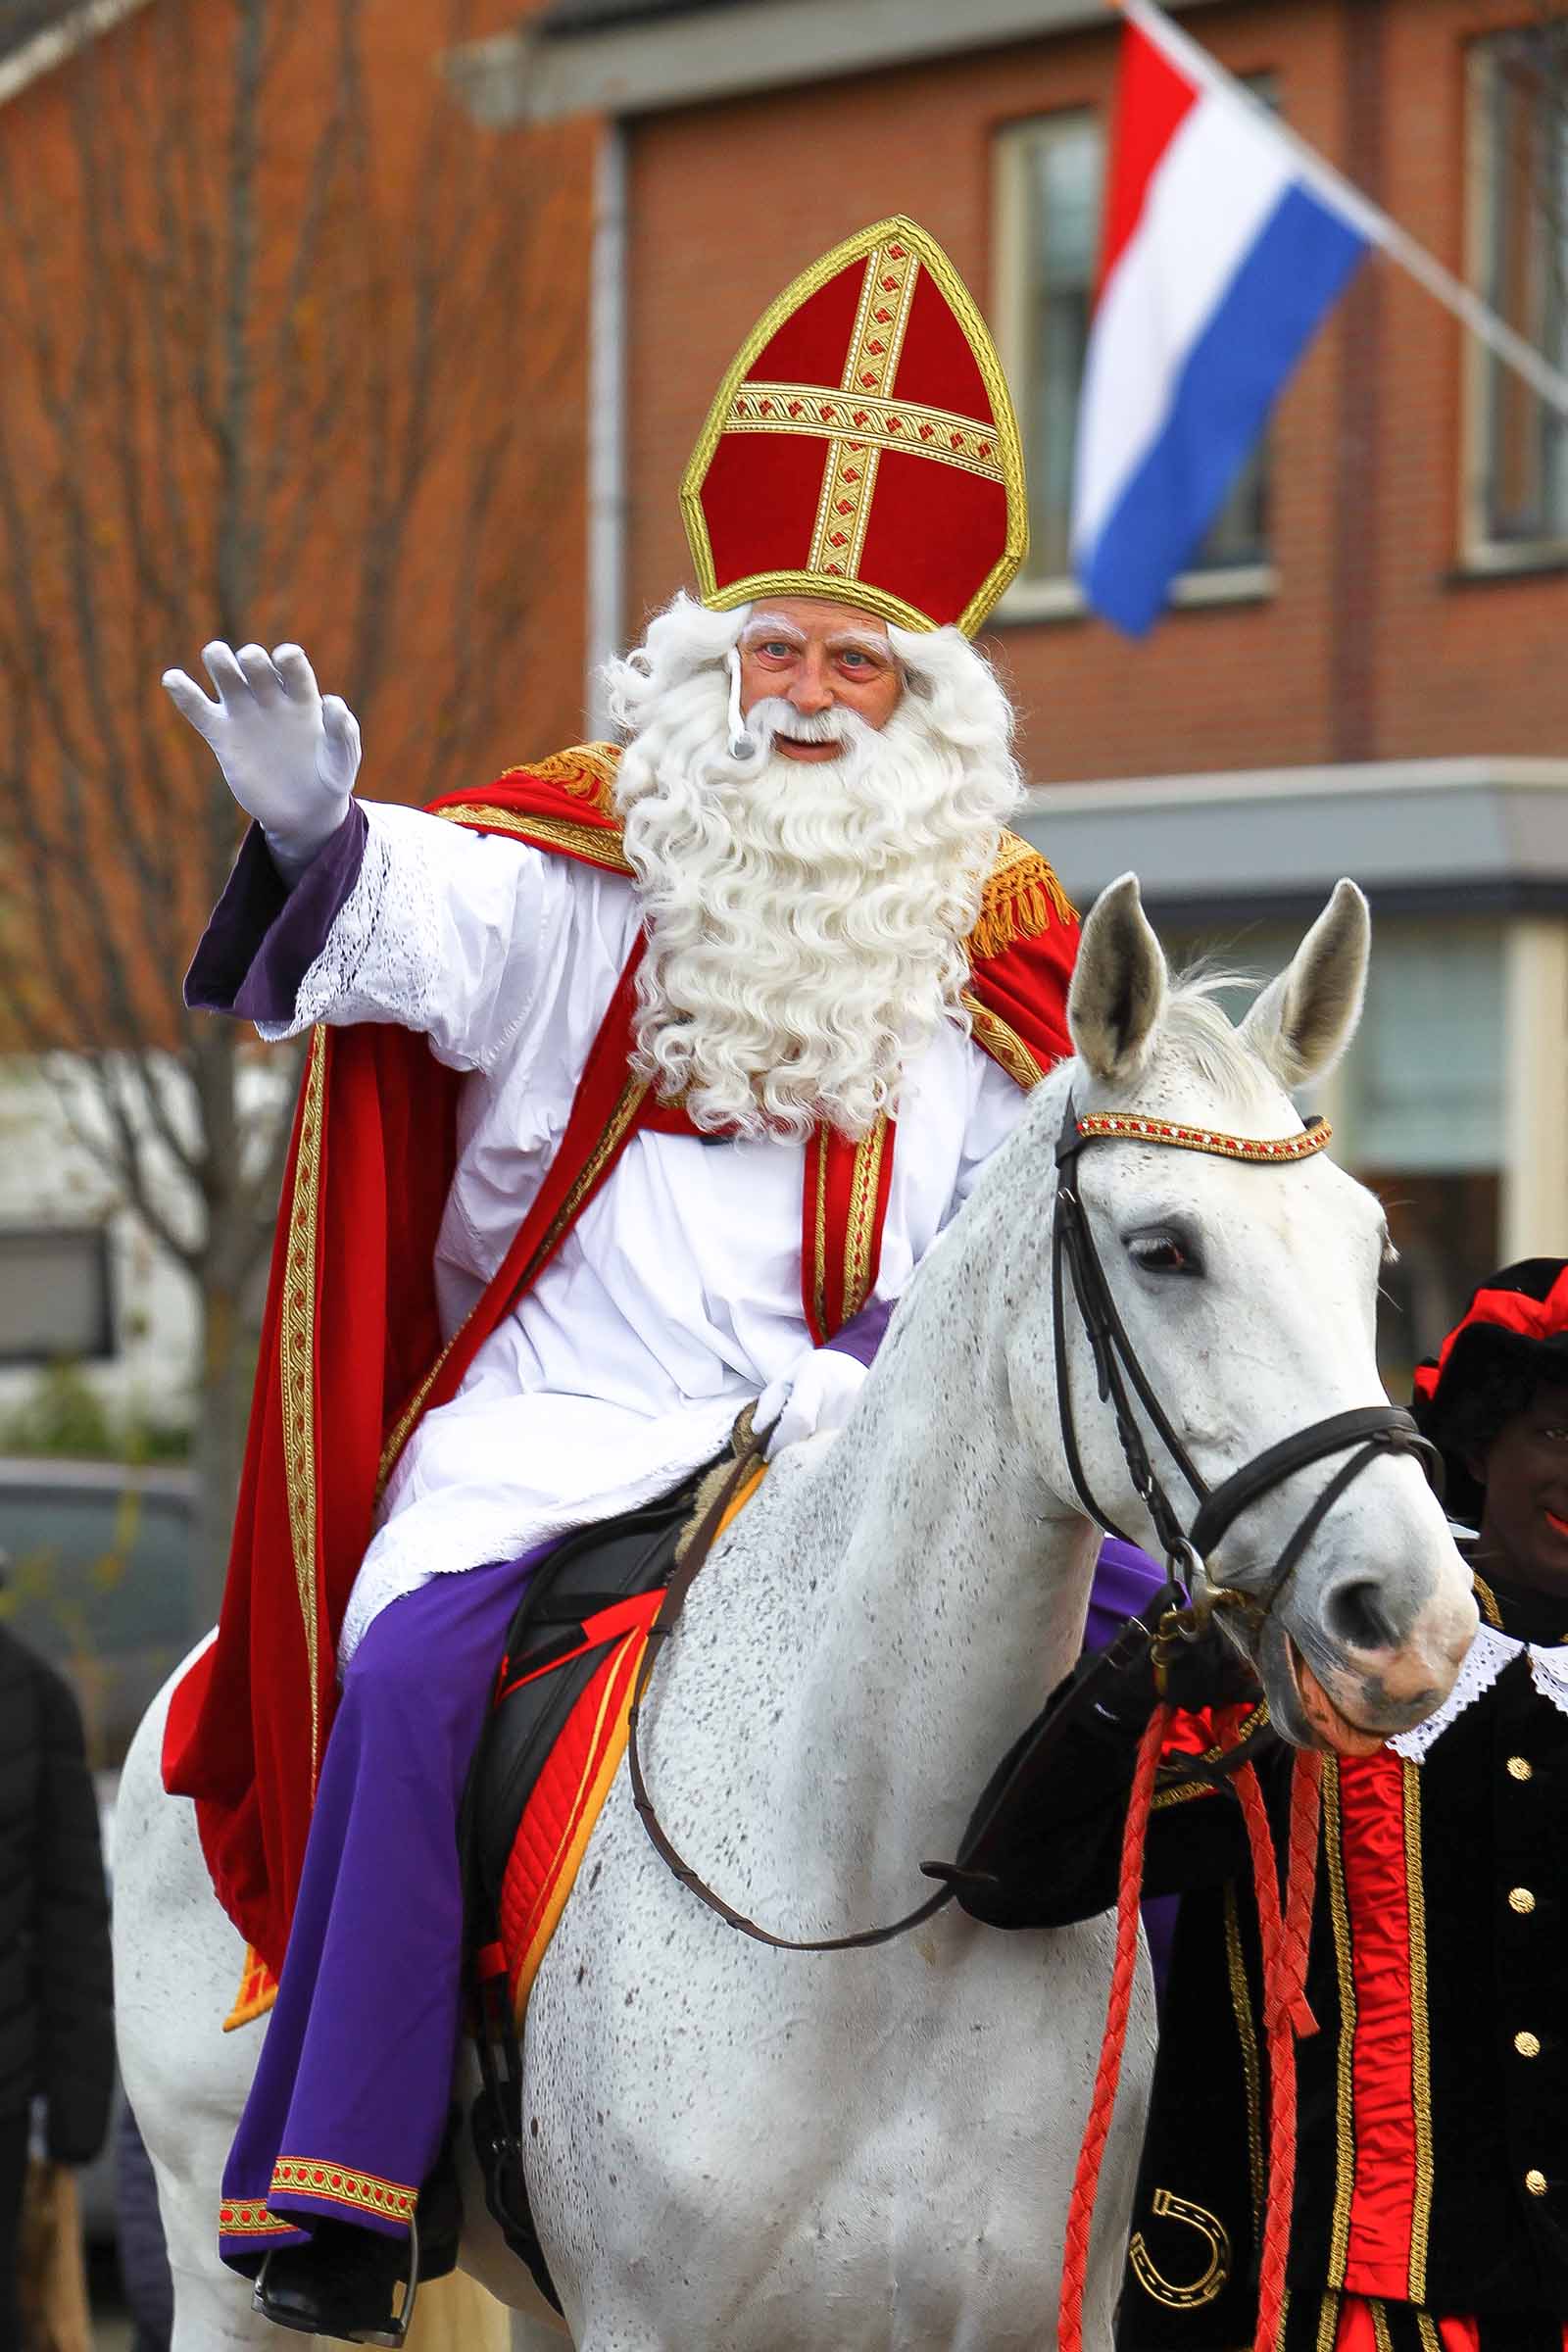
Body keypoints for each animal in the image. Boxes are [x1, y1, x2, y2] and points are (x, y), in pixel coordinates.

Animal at [112, 873, 1477, 2350]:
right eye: (1166, 1250)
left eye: (1369, 1247)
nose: (1414, 1619)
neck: (882, 1904)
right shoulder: (651, 2323)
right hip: (217, 2268)